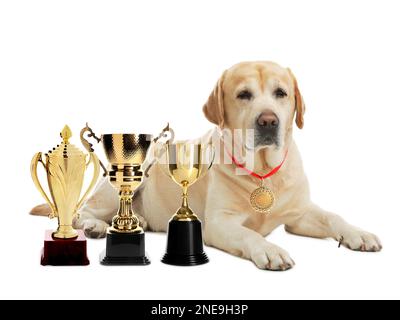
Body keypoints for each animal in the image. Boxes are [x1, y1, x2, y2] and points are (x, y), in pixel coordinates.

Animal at [31, 60, 382, 270]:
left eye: (281, 93)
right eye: (244, 95)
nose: (269, 121)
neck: (262, 172)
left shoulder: (299, 215)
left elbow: (333, 216)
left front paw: (358, 233)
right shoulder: (219, 223)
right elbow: (250, 235)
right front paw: (270, 250)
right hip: (130, 177)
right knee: (82, 212)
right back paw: (96, 226)